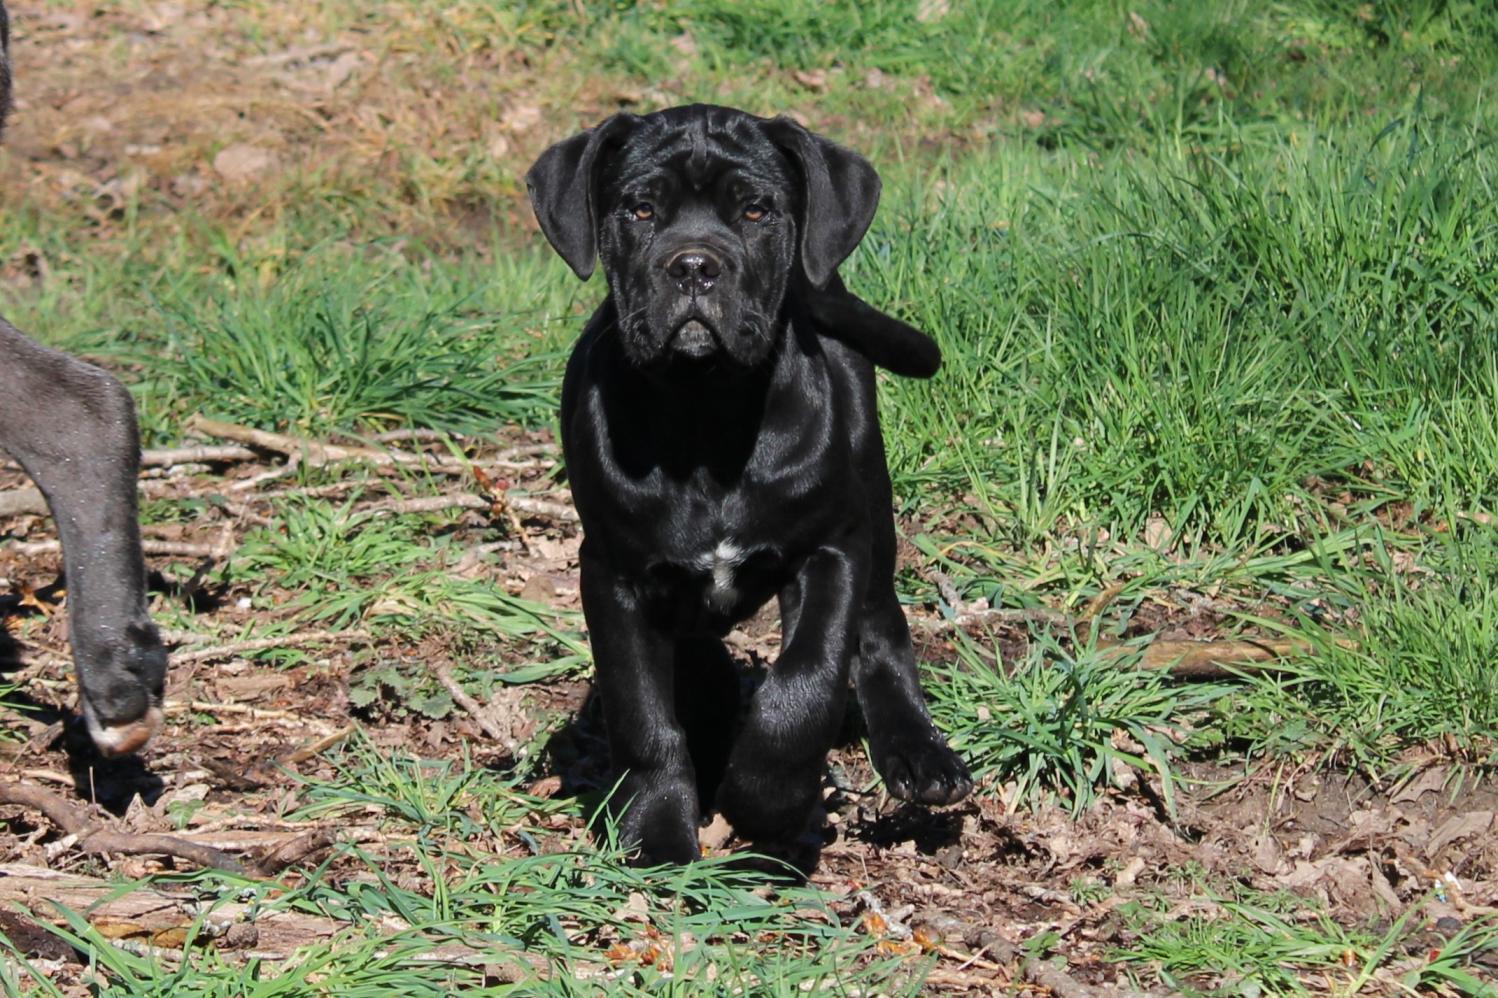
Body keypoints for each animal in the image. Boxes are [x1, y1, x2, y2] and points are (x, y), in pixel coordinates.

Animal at [527, 102, 970, 863]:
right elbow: (642, 712)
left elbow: (806, 683)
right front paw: (659, 836)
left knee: (881, 627)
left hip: (873, 505)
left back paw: (917, 752)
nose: (694, 265)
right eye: (640, 209)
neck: (706, 413)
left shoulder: (830, 550)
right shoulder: (614, 574)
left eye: (757, 211)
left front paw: (767, 801)